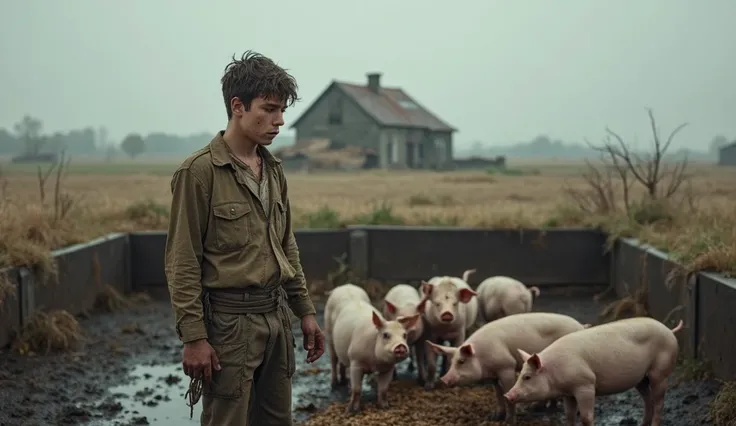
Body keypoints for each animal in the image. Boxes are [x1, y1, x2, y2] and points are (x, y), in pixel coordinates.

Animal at [506, 318, 684, 424]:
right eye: (520, 375)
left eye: (527, 377)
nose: (507, 395)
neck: (554, 371)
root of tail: (669, 330)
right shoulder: (568, 393)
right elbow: (569, 416)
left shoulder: (585, 384)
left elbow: (586, 417)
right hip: (641, 379)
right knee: (648, 400)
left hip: (660, 372)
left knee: (659, 402)